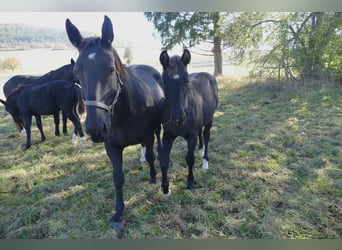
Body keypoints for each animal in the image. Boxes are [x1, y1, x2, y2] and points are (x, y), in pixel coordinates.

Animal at [66, 15, 166, 230]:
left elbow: (152, 156)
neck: (124, 112)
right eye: (77, 73)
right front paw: (118, 213)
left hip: (157, 130)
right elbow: (118, 179)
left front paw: (154, 178)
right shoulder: (111, 146)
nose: (95, 128)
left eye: (111, 69)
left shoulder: (148, 135)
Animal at [159, 49, 218, 195]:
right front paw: (165, 188)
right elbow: (164, 159)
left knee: (206, 136)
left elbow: (190, 159)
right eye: (165, 81)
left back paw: (205, 162)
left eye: (186, 81)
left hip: (210, 119)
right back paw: (201, 149)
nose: (178, 118)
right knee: (201, 133)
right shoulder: (168, 134)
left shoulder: (191, 136)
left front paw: (190, 182)